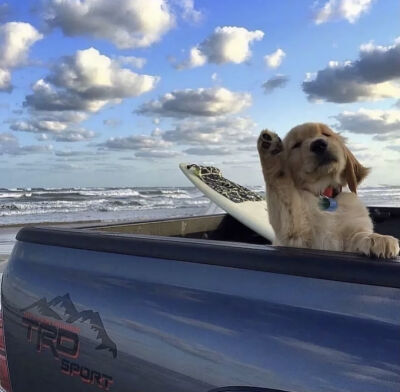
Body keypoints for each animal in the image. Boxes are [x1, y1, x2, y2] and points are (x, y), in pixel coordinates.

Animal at [258, 121, 398, 258]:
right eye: (296, 144)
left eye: (326, 134)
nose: (318, 144)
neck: (324, 193)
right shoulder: (295, 236)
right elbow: (282, 187)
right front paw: (272, 150)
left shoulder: (351, 235)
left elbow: (359, 234)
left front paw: (378, 238)